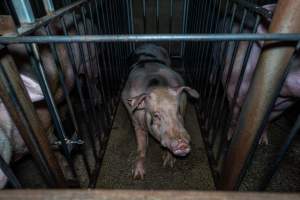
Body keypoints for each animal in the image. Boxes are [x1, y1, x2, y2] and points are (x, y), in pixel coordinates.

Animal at [122, 44, 199, 179]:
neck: (157, 86)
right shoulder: (135, 120)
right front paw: (137, 175)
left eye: (178, 111)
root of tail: (149, 44)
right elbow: (141, 146)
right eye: (156, 115)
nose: (182, 144)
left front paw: (168, 164)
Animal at [216, 3, 300, 145]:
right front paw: (230, 137)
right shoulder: (233, 85)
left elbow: (267, 121)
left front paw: (264, 142)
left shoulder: (283, 106)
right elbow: (234, 113)